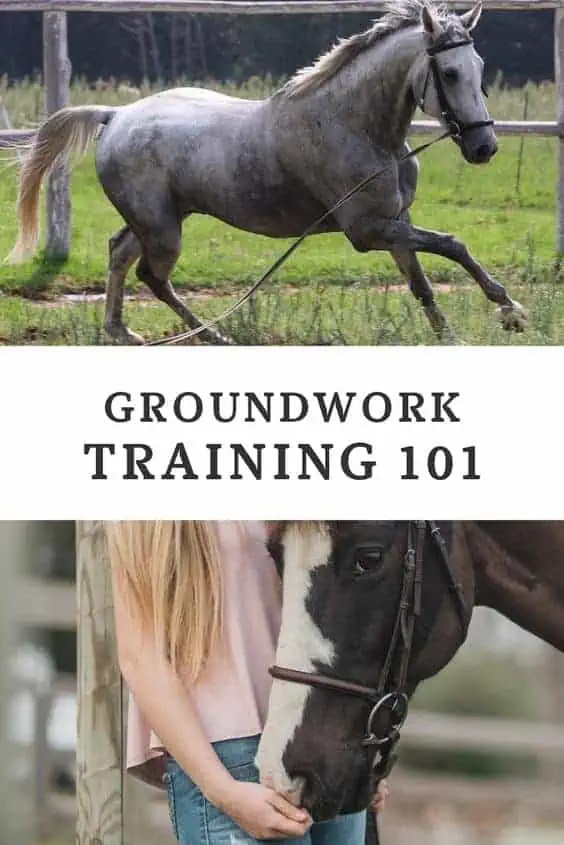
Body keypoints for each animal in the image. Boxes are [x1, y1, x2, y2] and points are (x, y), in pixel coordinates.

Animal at [8, 0, 527, 345]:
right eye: (451, 73)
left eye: (479, 66)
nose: (484, 147)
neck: (356, 126)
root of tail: (115, 116)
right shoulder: (367, 230)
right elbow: (453, 244)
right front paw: (511, 310)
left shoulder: (396, 223)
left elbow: (422, 285)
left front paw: (452, 336)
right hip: (163, 229)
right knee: (151, 276)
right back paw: (213, 337)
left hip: (162, 219)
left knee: (119, 253)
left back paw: (123, 332)